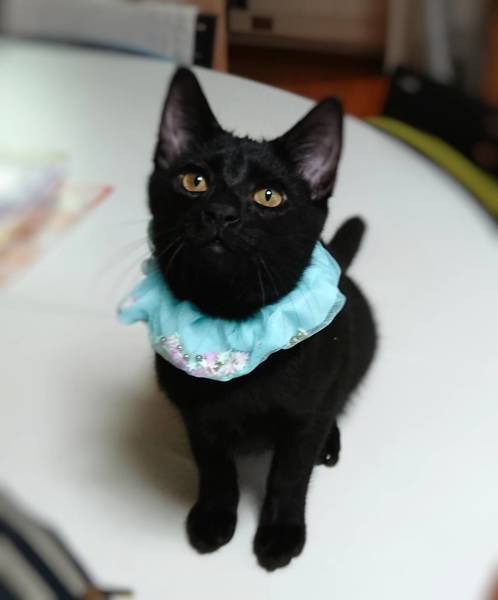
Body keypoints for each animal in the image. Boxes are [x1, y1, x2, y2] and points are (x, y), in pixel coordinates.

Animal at [147, 68, 376, 570]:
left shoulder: (303, 419)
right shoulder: (198, 417)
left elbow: (289, 476)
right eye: (194, 181)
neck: (231, 317)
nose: (221, 213)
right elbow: (215, 469)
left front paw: (281, 534)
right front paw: (213, 518)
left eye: (269, 196)